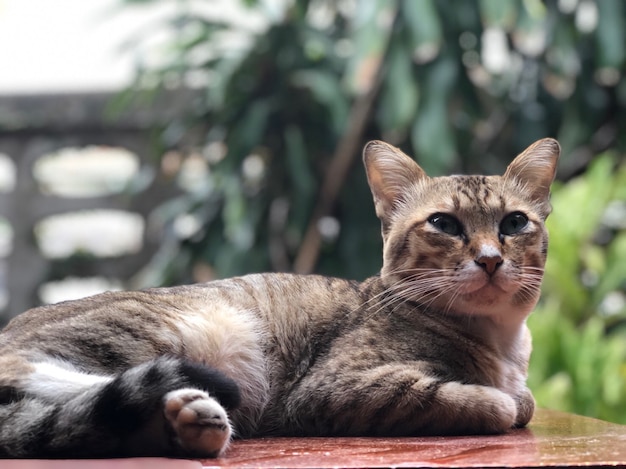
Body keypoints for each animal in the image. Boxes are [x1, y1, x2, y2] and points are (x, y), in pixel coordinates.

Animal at [0, 138, 560, 458]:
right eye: (444, 223)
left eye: (514, 223)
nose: (489, 258)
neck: (500, 341)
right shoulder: (329, 390)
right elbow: (496, 405)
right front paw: (495, 396)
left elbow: (525, 399)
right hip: (192, 326)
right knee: (28, 371)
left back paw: (188, 421)